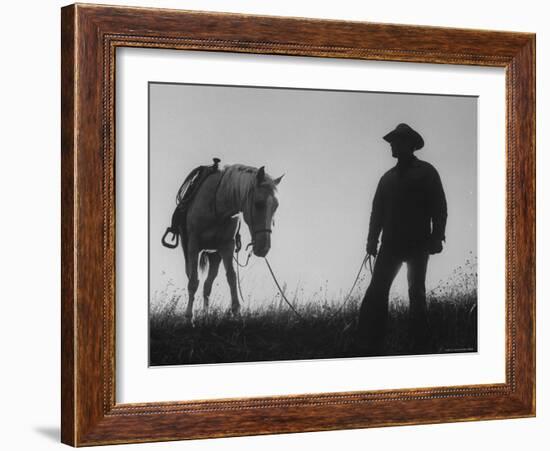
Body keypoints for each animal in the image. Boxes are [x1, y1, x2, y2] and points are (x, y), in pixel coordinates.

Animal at [163, 164, 284, 320]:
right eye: (258, 204)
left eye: (276, 206)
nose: (264, 248)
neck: (217, 205)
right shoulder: (194, 246)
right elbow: (193, 281)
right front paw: (189, 316)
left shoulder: (227, 246)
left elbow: (231, 277)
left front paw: (236, 311)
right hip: (189, 250)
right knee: (193, 277)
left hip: (215, 255)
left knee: (207, 285)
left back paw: (206, 315)